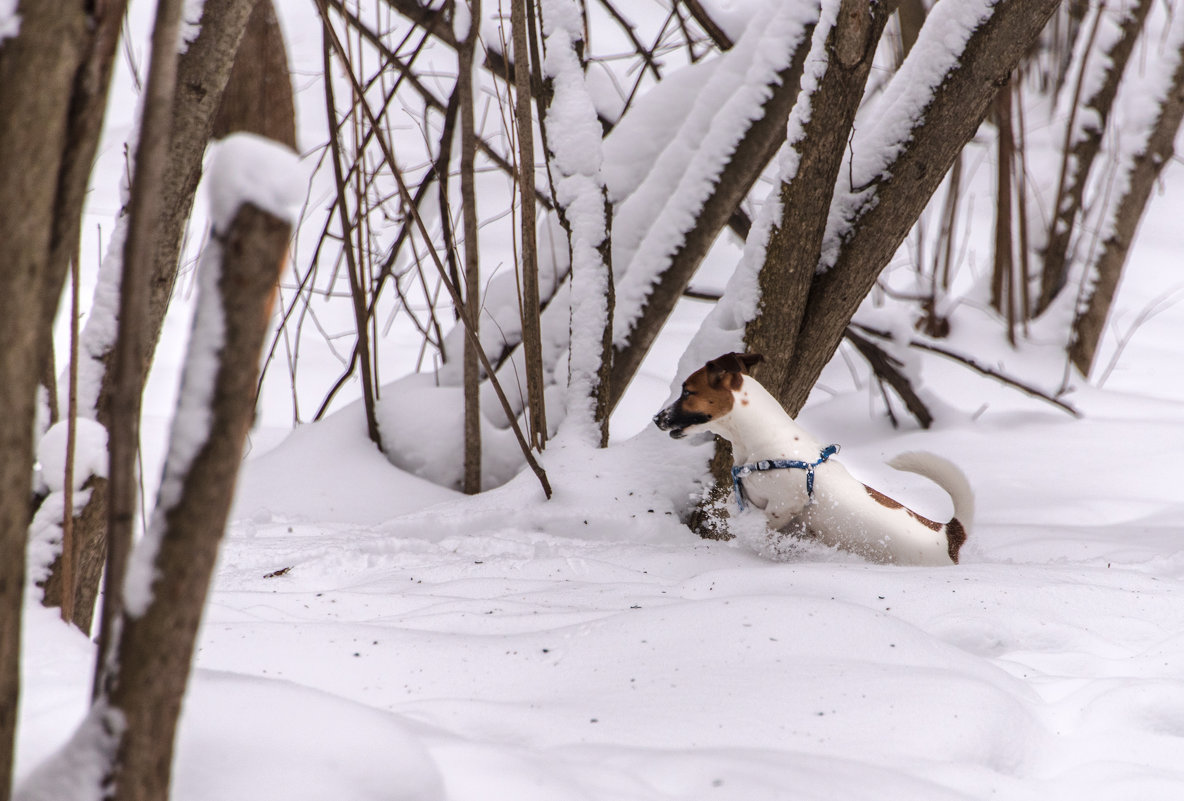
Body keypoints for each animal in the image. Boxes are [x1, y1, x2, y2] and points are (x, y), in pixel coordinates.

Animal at [653, 352, 975, 565]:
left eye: (687, 392)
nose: (657, 419)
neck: (764, 441)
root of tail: (949, 534)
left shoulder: (785, 504)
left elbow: (765, 524)